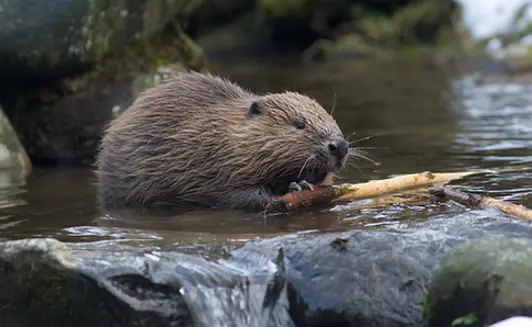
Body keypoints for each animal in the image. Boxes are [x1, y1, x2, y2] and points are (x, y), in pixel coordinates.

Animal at [96, 72, 350, 213]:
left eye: (331, 119)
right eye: (299, 125)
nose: (340, 146)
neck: (224, 135)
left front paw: (303, 184)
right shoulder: (210, 166)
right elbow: (231, 194)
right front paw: (290, 190)